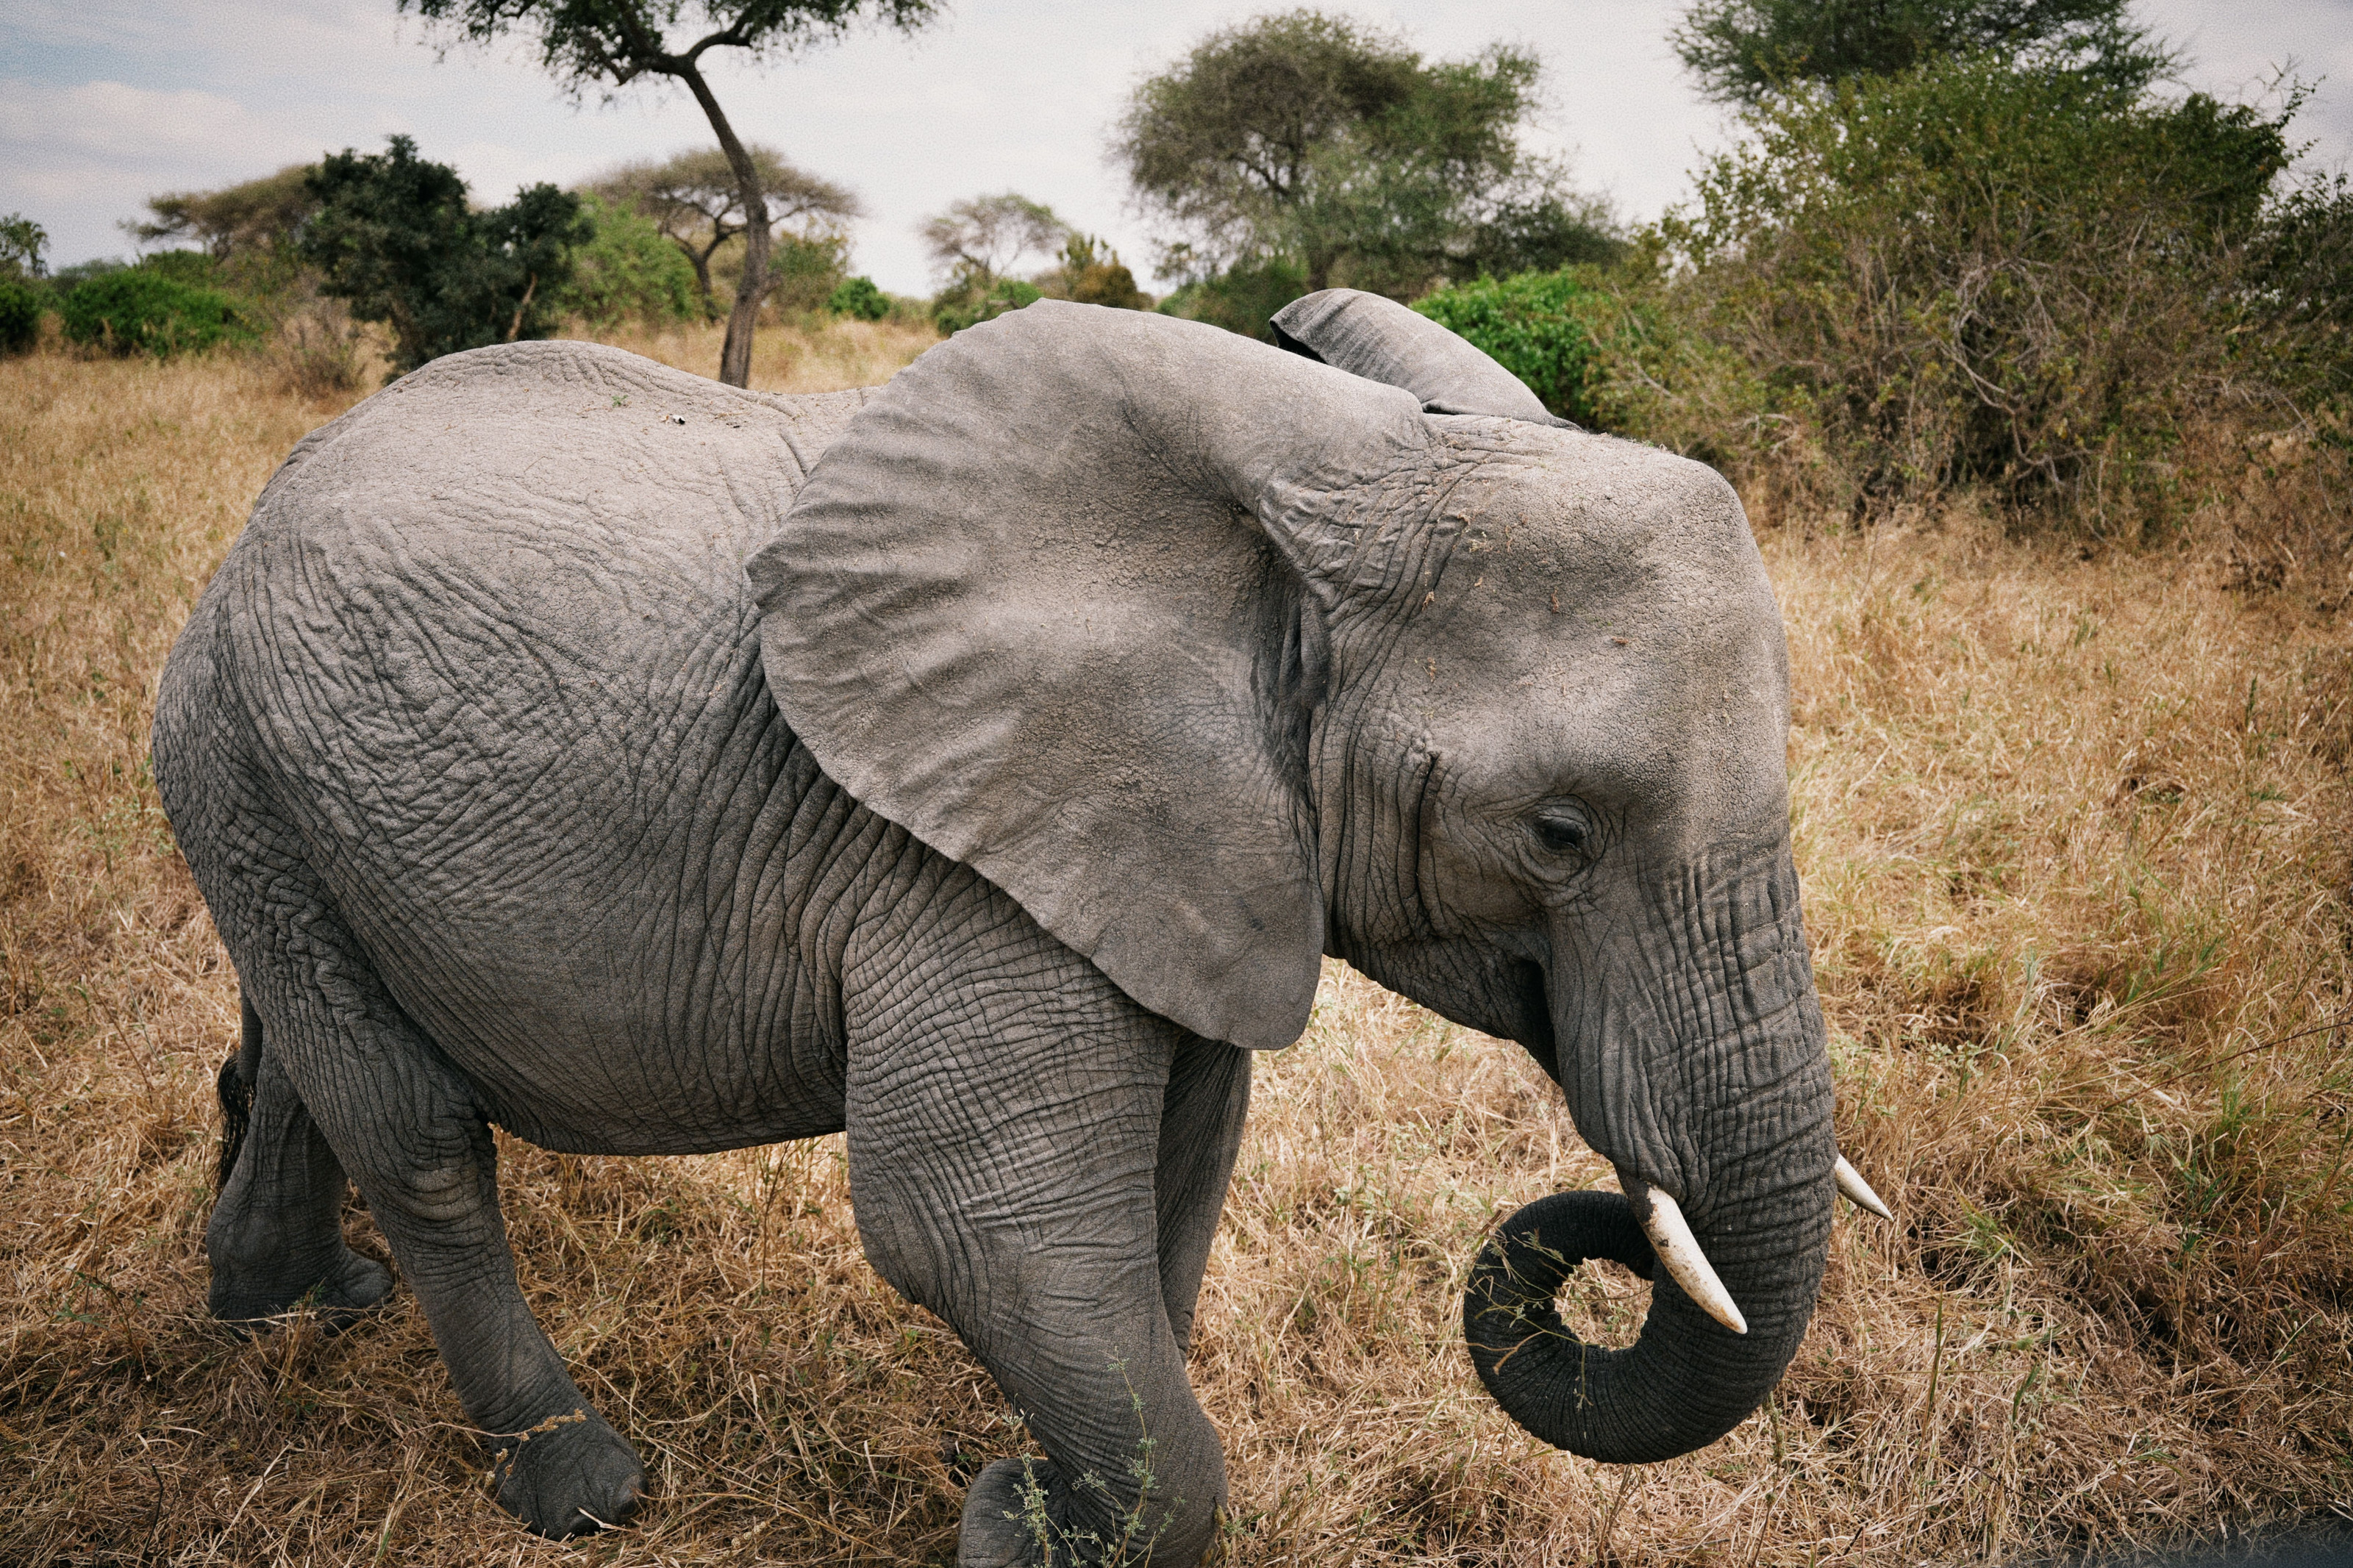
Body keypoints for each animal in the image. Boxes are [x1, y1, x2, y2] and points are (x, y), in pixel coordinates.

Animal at [151, 287, 1888, 1563]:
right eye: (1558, 832)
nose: (1614, 1219)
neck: (1342, 480)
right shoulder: (962, 852)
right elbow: (981, 1229)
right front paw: (1016, 1526)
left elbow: (1179, 1177)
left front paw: (1044, 1501)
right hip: (233, 745)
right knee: (417, 1128)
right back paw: (584, 1486)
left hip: (276, 788)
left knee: (306, 1048)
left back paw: (294, 1308)